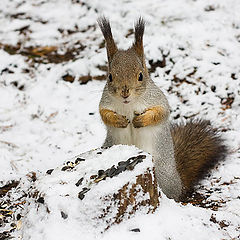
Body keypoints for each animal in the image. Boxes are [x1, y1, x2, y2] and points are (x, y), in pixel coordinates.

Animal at [97, 16, 227, 201]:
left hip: (162, 174)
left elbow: (160, 113)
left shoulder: (158, 99)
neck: (129, 105)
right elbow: (104, 114)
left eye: (140, 75)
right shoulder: (105, 102)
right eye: (109, 76)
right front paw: (119, 120)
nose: (125, 92)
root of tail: (179, 183)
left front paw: (141, 120)